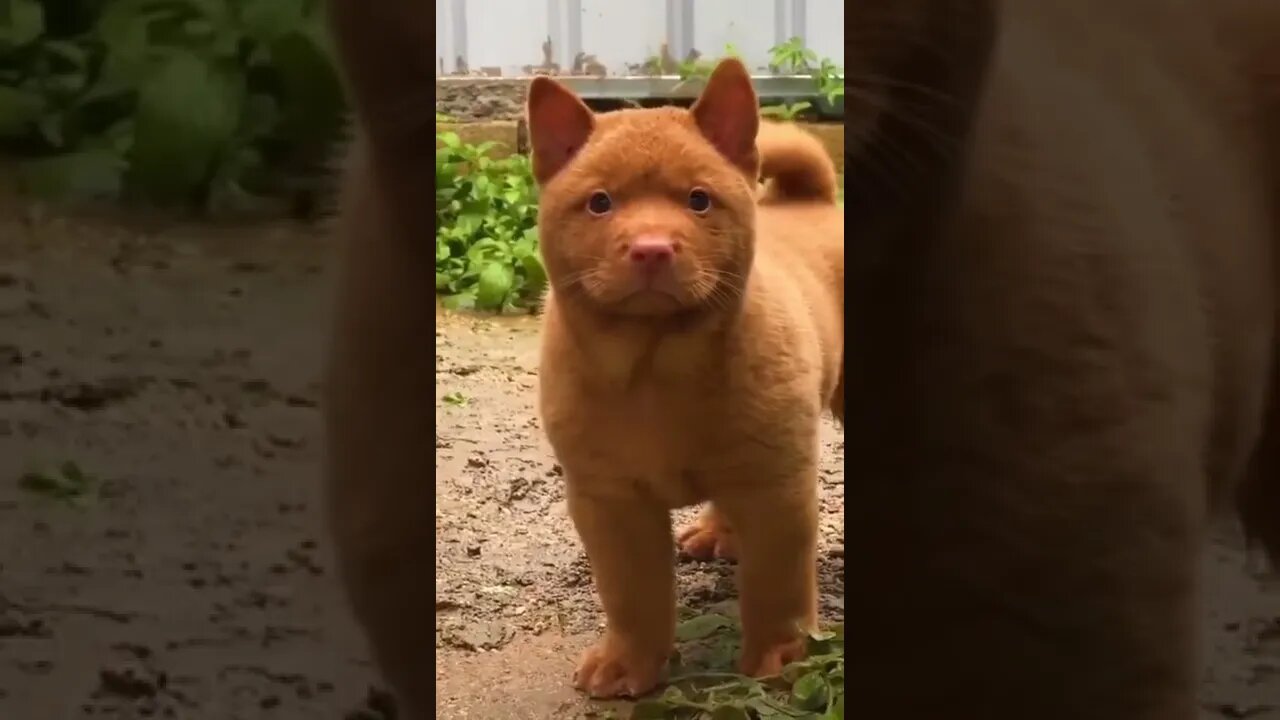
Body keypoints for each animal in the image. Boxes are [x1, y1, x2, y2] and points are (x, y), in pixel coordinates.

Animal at [524, 61, 844, 696]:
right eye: (600, 203)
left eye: (699, 201)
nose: (652, 249)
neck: (655, 365)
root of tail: (813, 198)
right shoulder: (610, 501)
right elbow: (632, 594)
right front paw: (627, 663)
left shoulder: (779, 490)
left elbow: (776, 586)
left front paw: (781, 658)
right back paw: (720, 532)